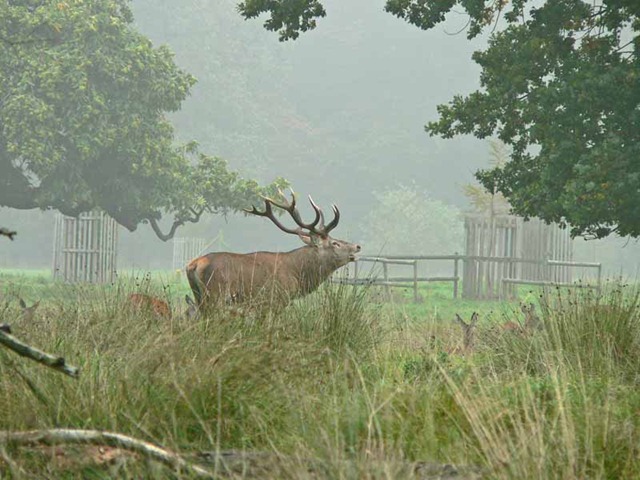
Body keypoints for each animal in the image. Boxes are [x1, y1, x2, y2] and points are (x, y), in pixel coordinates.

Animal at [186, 190, 361, 314]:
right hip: (216, 293)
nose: (358, 246)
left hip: (199, 296)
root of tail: (194, 265)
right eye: (335, 243)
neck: (297, 273)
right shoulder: (275, 299)